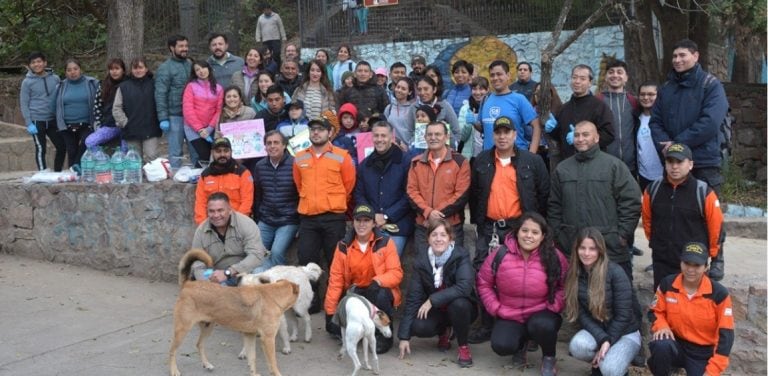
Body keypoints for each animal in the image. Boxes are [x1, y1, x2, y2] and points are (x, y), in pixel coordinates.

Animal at [170, 250, 298, 376]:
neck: (271, 296)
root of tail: (188, 284)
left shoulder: (249, 336)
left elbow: (252, 359)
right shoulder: (268, 339)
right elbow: (273, 364)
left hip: (207, 327)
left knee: (199, 344)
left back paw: (207, 364)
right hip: (182, 329)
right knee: (172, 351)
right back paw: (174, 371)